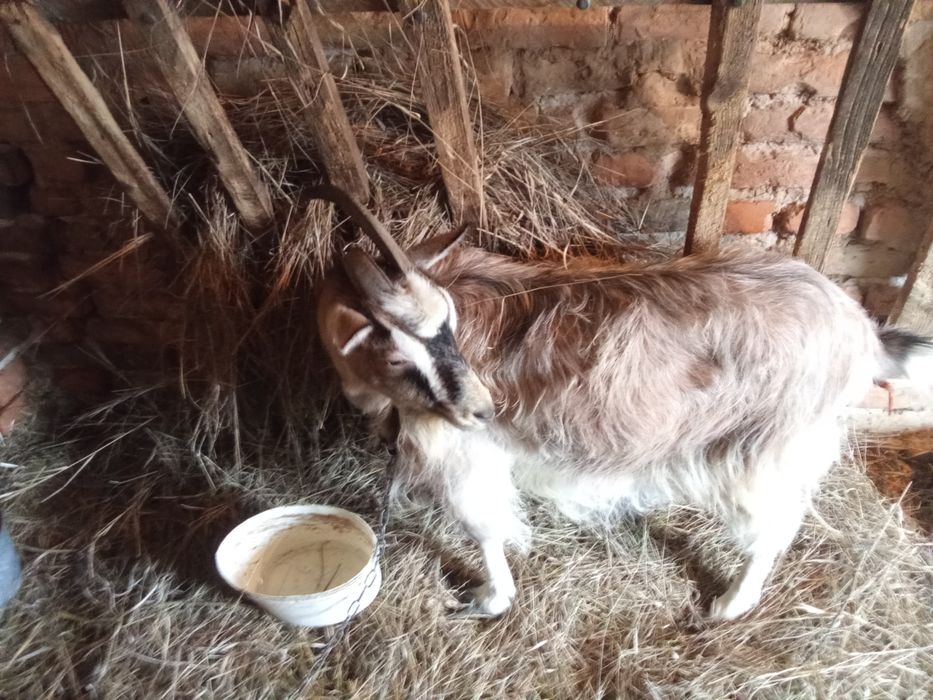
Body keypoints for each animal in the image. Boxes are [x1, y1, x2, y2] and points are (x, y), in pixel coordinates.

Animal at [312, 185, 933, 620]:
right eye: (398, 355)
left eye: (450, 328)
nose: (484, 408)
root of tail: (860, 329)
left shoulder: (465, 450)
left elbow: (482, 525)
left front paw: (490, 599)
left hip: (767, 445)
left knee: (774, 525)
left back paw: (730, 604)